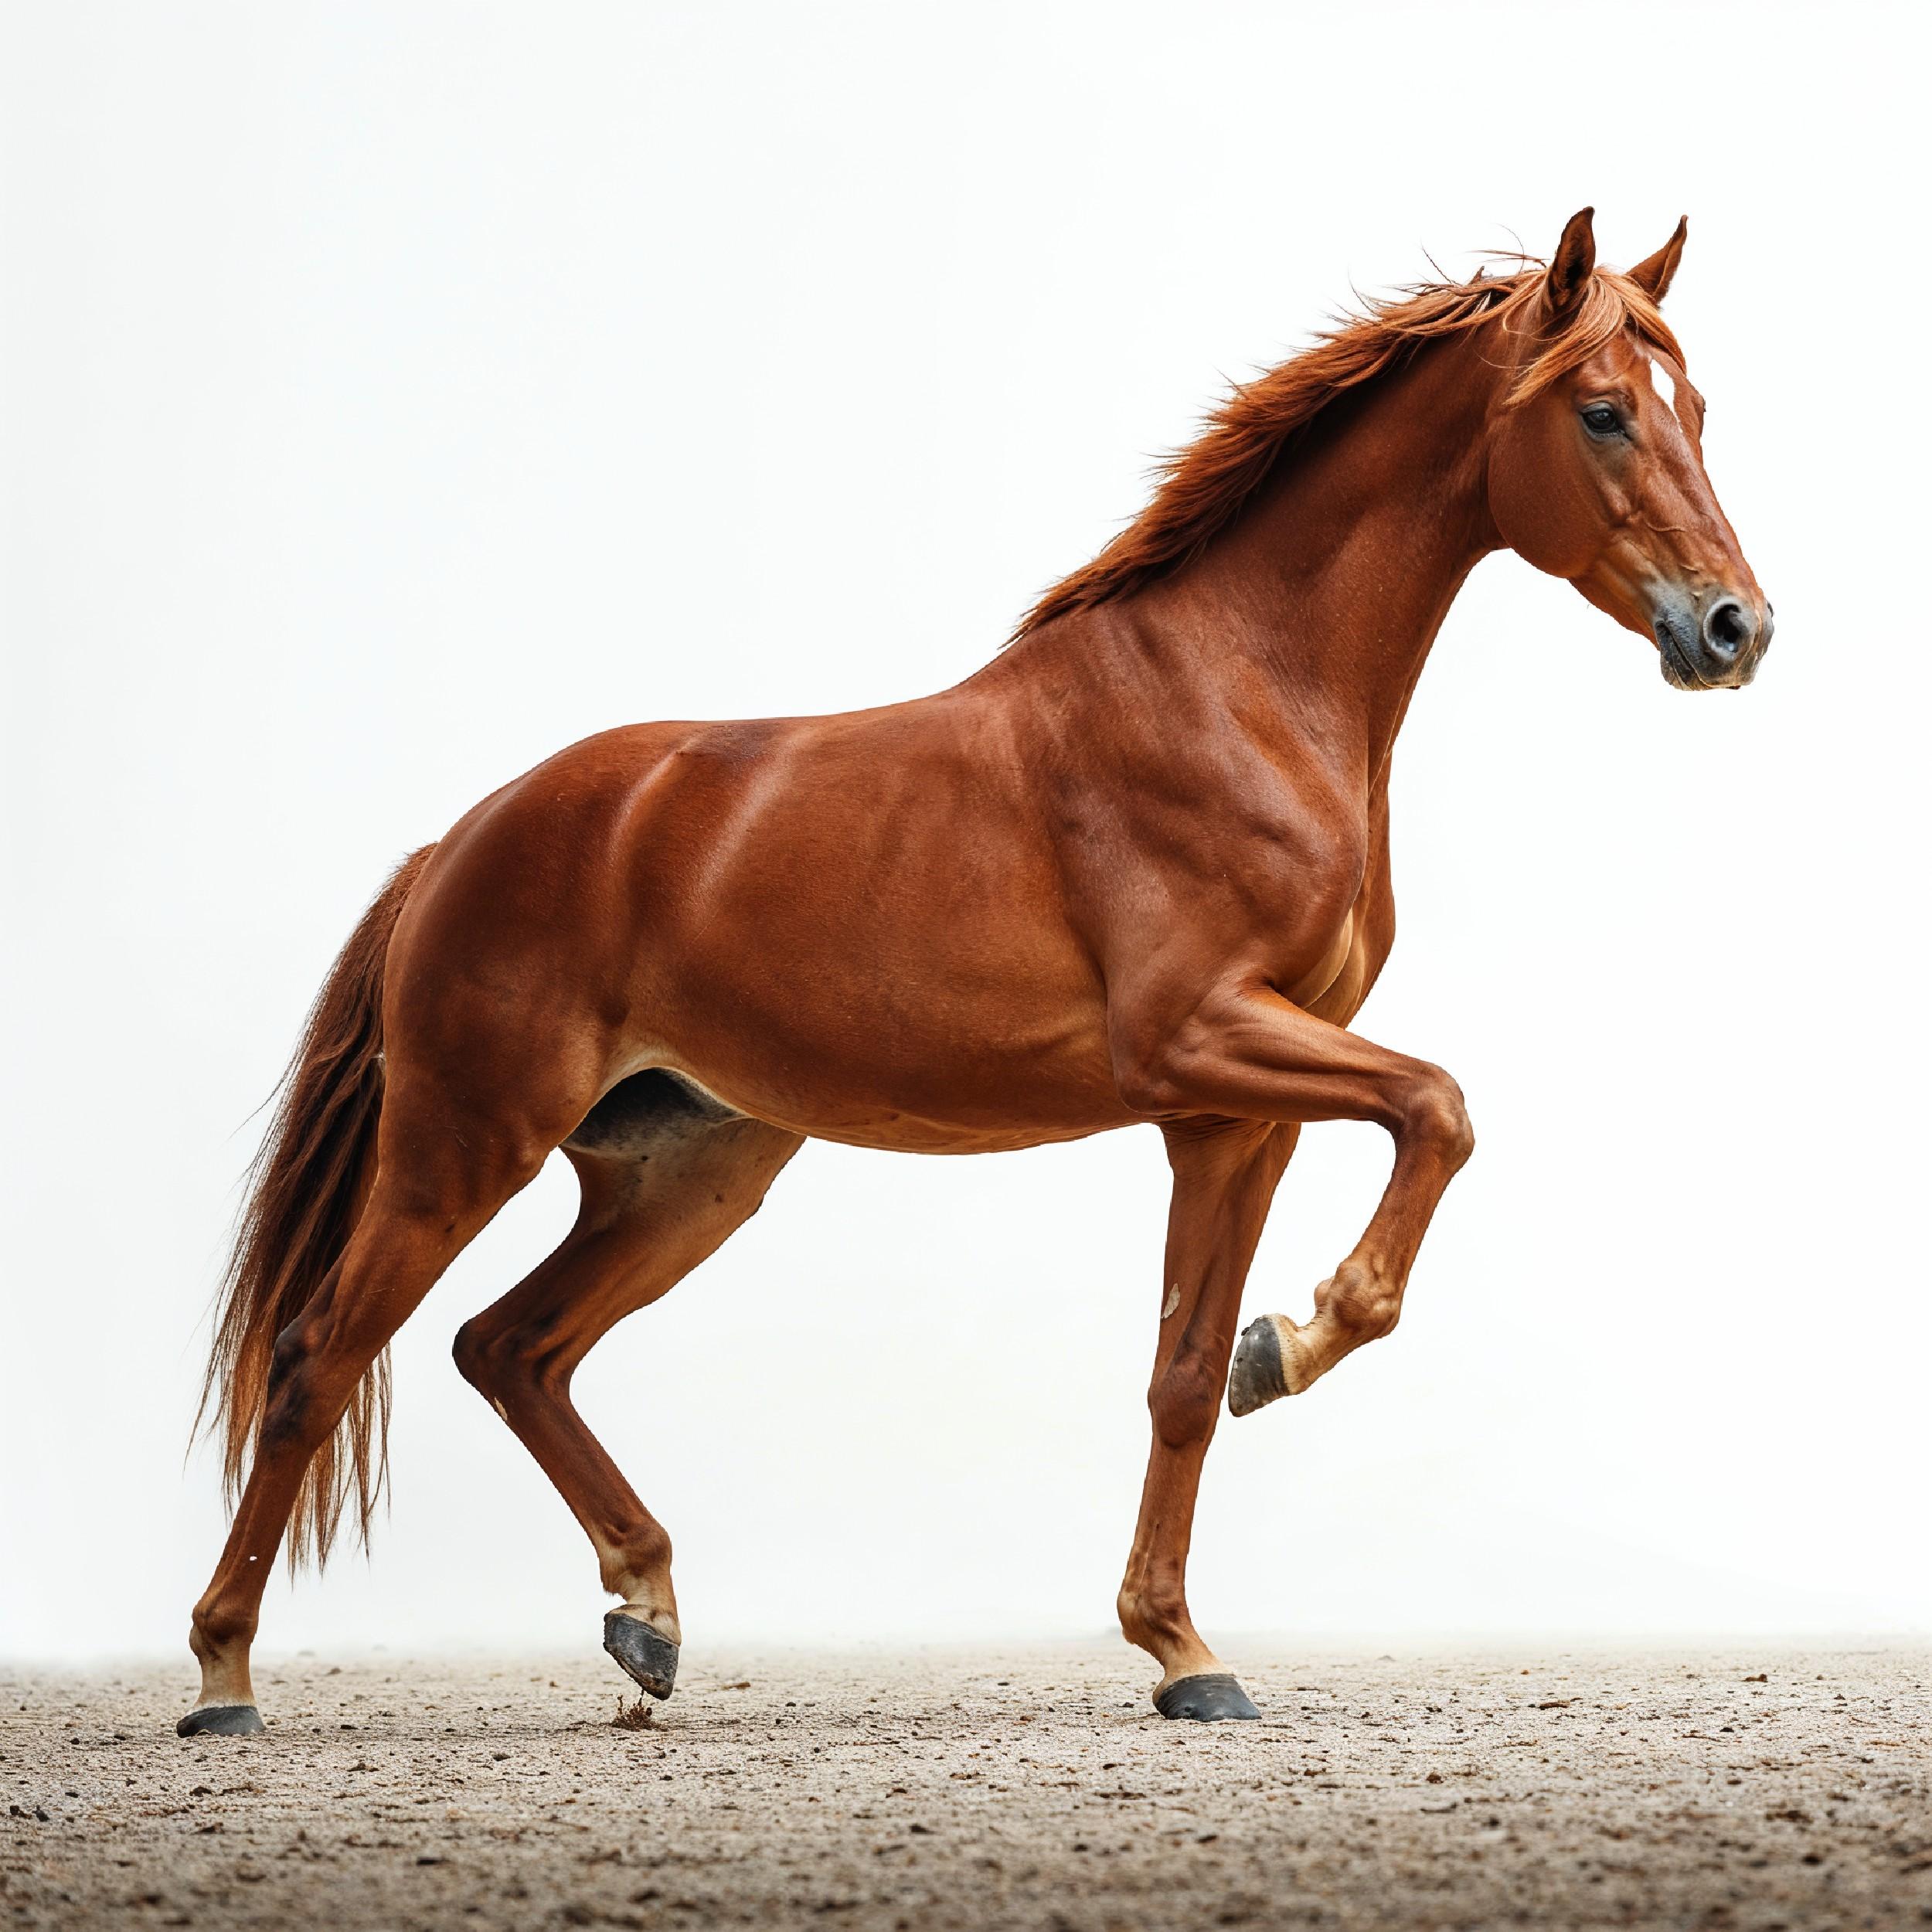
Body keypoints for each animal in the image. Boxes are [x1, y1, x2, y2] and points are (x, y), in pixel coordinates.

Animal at [181, 208, 1768, 1735]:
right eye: (1605, 411)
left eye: (1697, 407)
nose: (1734, 628)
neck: (1241, 692)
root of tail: (461, 841)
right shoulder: (1195, 1042)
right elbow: (1439, 1107)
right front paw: (1298, 1342)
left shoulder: (1234, 1115)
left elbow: (1182, 1377)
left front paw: (1186, 1648)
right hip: (463, 1147)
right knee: (321, 1357)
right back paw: (223, 1680)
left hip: (689, 1173)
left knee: (509, 1347)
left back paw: (649, 1614)